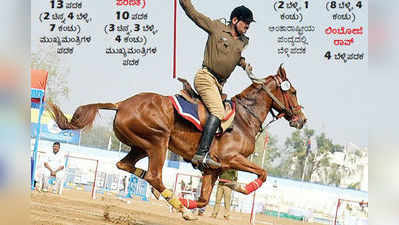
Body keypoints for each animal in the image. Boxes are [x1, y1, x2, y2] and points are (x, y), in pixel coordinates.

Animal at [47, 64, 310, 220]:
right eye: (293, 92)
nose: (302, 120)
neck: (244, 119)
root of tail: (121, 104)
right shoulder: (232, 159)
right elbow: (262, 173)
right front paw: (238, 187)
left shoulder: (213, 169)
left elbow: (204, 198)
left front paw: (188, 201)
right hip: (158, 141)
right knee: (154, 175)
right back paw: (174, 202)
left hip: (141, 146)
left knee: (125, 165)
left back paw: (164, 195)